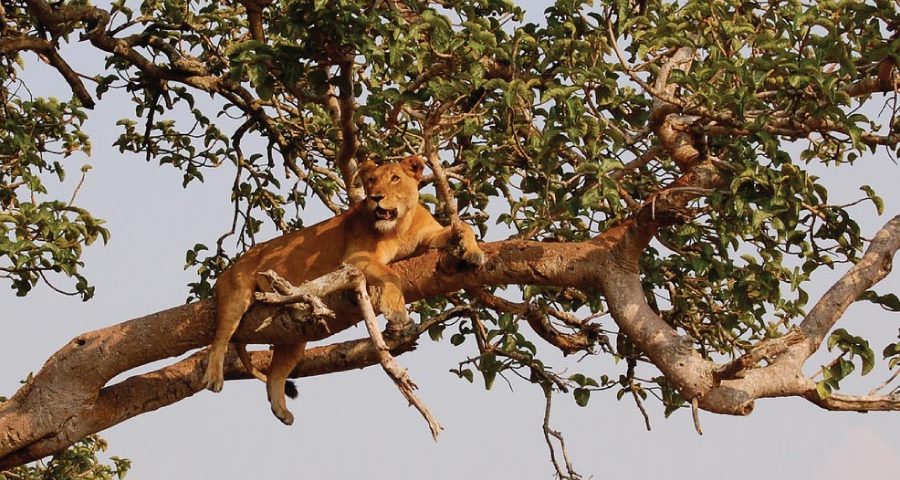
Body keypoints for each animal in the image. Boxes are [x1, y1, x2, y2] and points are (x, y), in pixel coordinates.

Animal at [202, 155, 485, 425]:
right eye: (371, 180)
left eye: (395, 178)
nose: (375, 197)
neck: (400, 226)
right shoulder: (356, 257)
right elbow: (391, 273)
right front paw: (395, 309)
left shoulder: (431, 237)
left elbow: (465, 227)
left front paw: (474, 253)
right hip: (236, 295)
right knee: (220, 339)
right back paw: (214, 378)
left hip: (294, 337)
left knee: (275, 373)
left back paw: (282, 412)